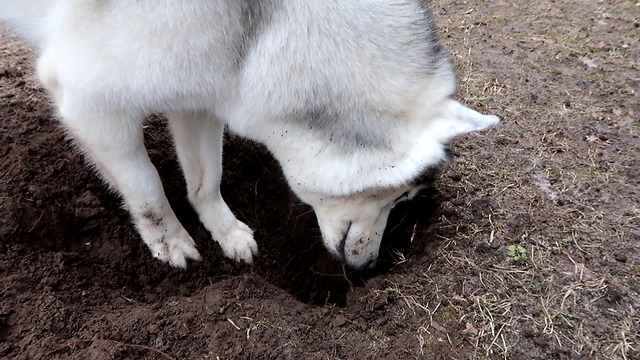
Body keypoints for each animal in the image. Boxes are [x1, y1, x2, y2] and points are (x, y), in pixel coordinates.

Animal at [0, 0, 498, 270]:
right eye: (397, 197)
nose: (369, 267)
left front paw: (224, 232)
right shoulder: (86, 102)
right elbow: (146, 187)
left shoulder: (198, 96)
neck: (263, 30)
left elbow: (206, 180)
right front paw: (171, 241)